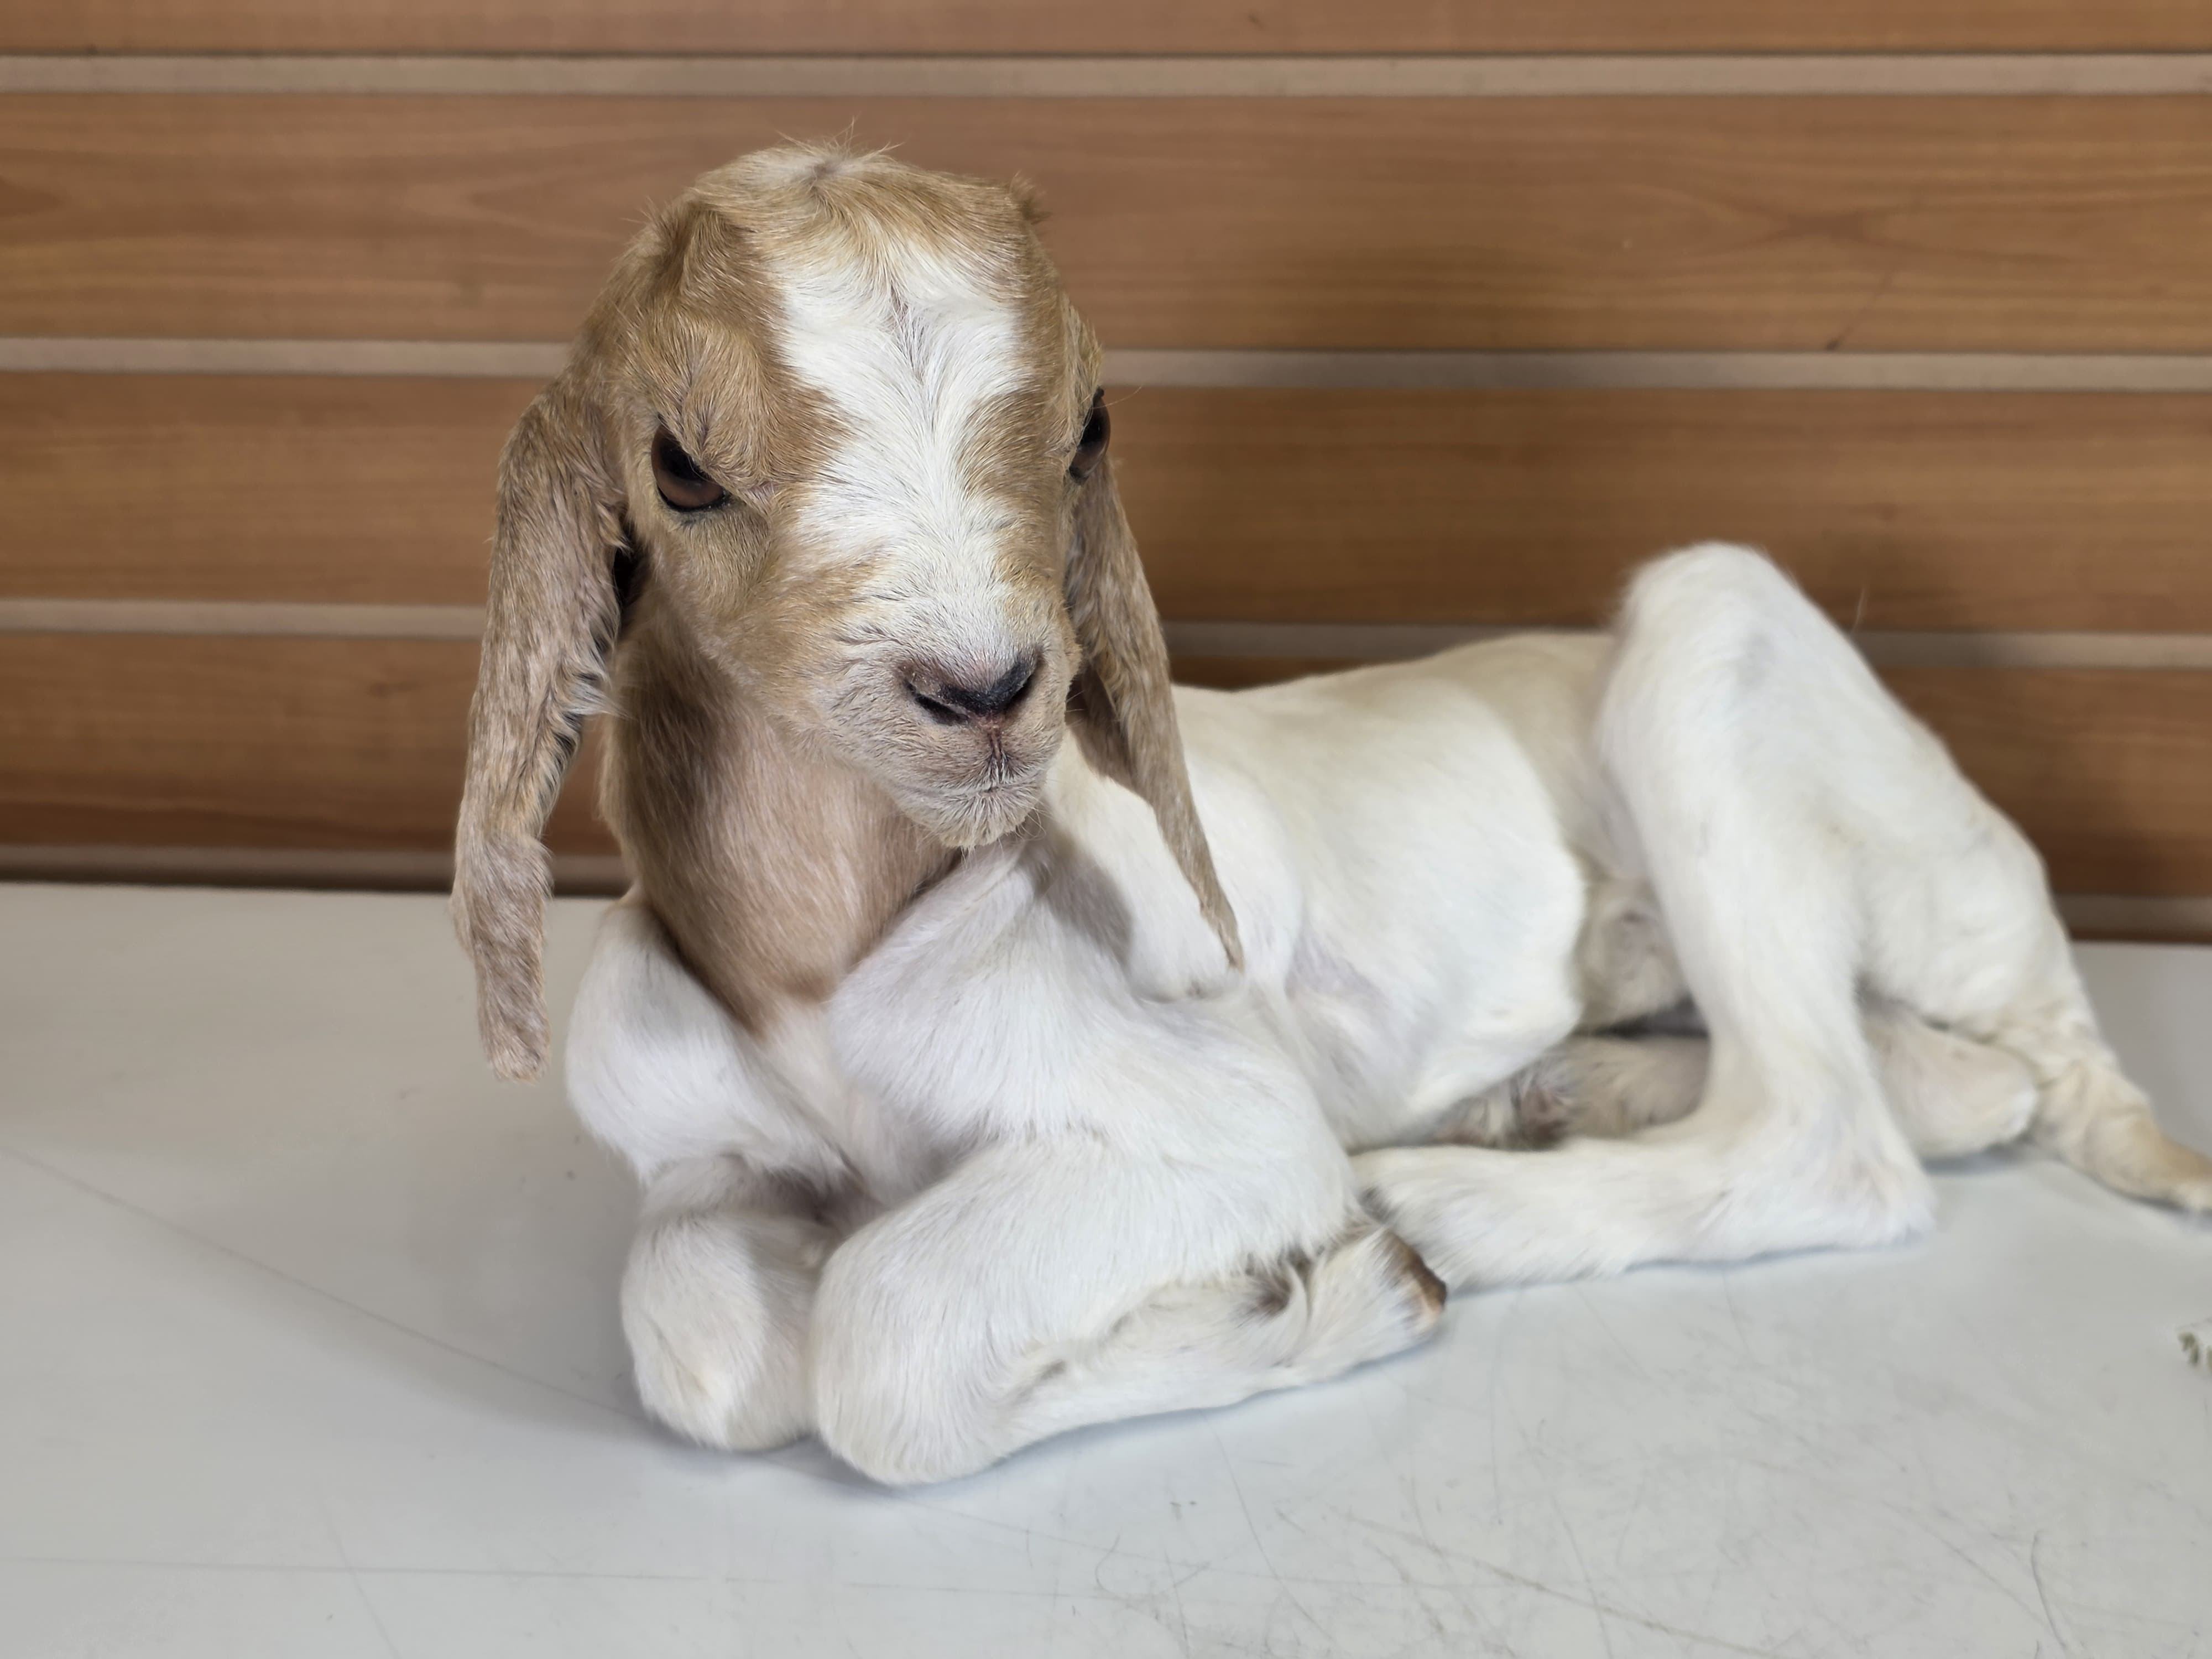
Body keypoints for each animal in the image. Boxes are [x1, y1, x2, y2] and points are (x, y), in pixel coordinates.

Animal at [453, 143, 2212, 1485]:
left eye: (1084, 430)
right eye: (681, 466)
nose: (990, 687)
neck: (810, 981)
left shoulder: (1216, 1123)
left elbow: (873, 1341)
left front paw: (1326, 1294)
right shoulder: (692, 1149)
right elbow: (701, 1339)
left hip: (1721, 645)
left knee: (1838, 1136)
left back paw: (1452, 1203)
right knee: (1962, 1086)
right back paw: (1544, 1095)